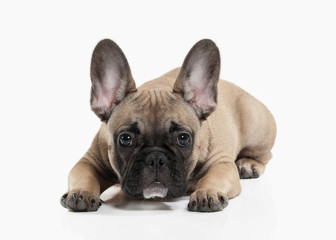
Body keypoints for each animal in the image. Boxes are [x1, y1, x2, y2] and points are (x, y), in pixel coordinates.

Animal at [59, 39, 276, 212]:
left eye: (183, 138)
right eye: (125, 139)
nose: (156, 158)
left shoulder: (221, 163)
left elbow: (212, 178)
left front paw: (207, 192)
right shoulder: (88, 161)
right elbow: (84, 176)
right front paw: (81, 192)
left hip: (257, 125)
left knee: (265, 155)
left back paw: (248, 164)